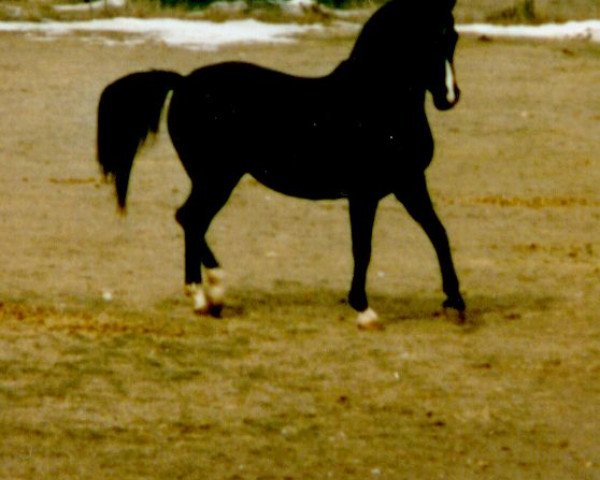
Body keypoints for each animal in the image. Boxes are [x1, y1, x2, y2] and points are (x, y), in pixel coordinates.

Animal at [97, 0, 464, 328]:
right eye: (428, 39)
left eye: (453, 37)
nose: (449, 97)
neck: (374, 104)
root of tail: (183, 81)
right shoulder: (364, 193)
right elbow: (363, 248)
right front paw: (364, 311)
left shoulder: (409, 183)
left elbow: (438, 233)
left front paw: (455, 303)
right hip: (217, 177)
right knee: (189, 218)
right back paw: (212, 289)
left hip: (215, 178)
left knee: (193, 221)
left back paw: (205, 300)